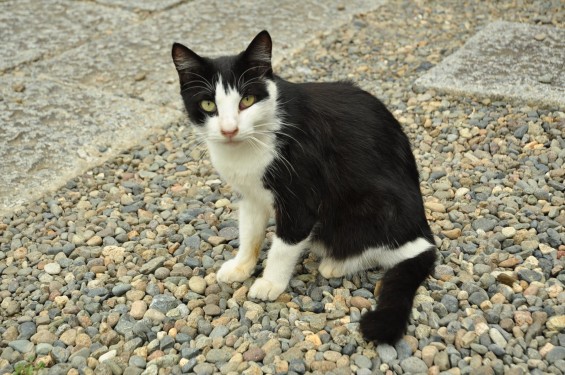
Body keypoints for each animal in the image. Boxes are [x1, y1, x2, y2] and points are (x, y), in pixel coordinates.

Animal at [171, 30, 436, 346]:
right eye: (208, 105)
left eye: (247, 99)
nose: (229, 130)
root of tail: (423, 232)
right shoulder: (250, 195)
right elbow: (250, 233)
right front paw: (241, 266)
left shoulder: (302, 197)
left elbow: (284, 245)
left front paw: (270, 282)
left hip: (378, 204)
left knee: (387, 248)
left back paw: (337, 263)